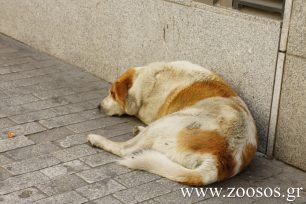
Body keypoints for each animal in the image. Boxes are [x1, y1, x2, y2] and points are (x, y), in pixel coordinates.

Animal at [87, 61, 256, 186]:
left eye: (112, 94)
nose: (98, 106)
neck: (149, 79)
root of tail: (220, 159)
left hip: (168, 122)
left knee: (124, 149)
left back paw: (96, 139)